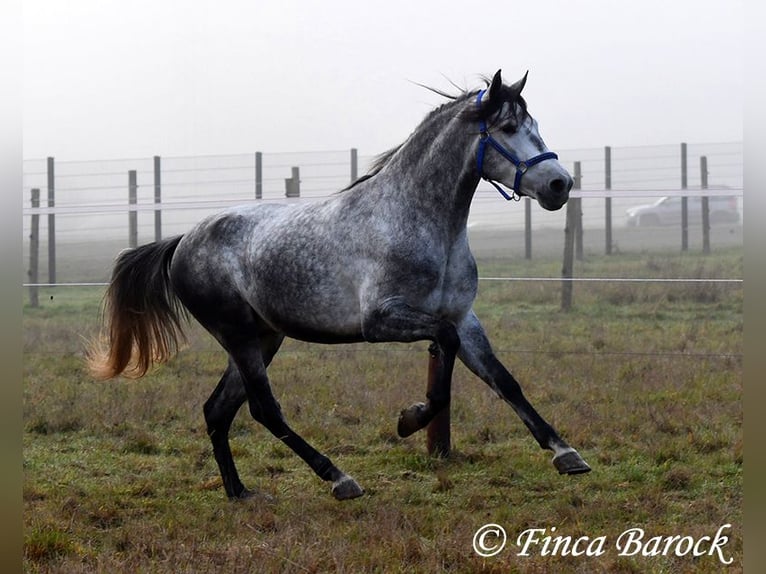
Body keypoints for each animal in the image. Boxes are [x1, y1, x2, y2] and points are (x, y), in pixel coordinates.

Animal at [89, 69, 591, 502]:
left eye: (534, 125)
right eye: (507, 127)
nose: (559, 184)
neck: (418, 221)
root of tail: (182, 242)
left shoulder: (464, 318)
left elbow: (504, 381)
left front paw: (567, 454)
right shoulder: (383, 320)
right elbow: (443, 362)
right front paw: (409, 420)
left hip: (263, 337)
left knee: (218, 409)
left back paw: (240, 493)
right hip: (238, 336)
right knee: (263, 409)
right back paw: (339, 479)